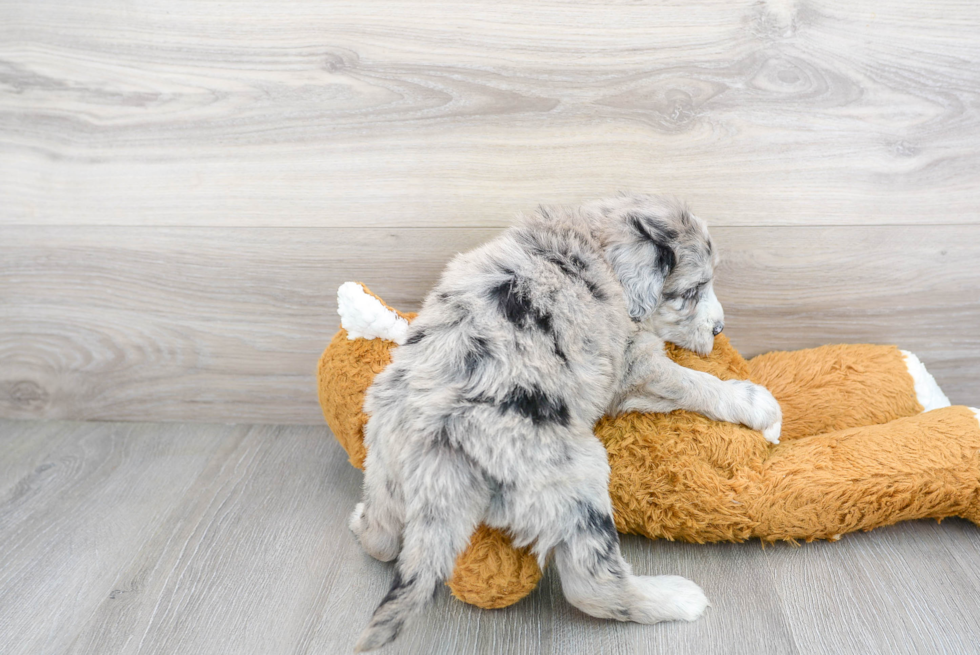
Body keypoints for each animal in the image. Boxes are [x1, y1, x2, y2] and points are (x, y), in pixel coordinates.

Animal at [348, 193, 784, 652]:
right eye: (691, 291)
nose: (719, 329)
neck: (594, 243)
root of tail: (439, 449)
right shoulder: (634, 363)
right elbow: (695, 382)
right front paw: (758, 405)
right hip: (574, 480)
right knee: (592, 585)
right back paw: (675, 598)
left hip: (384, 460)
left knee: (383, 537)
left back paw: (361, 522)